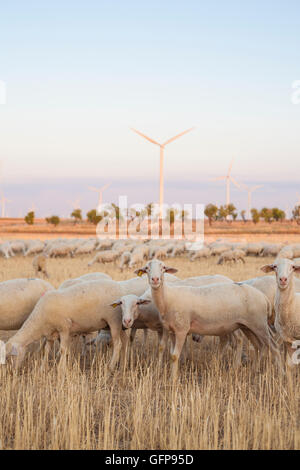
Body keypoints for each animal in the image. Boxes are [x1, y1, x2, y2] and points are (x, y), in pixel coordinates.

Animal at [136, 260, 282, 378]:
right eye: (147, 268)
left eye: (163, 268)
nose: (155, 280)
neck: (168, 298)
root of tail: (263, 297)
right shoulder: (169, 330)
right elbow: (163, 349)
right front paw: (159, 371)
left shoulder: (182, 330)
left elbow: (174, 355)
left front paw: (173, 379)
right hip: (247, 326)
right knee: (258, 346)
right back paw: (254, 371)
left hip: (259, 324)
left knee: (274, 347)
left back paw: (281, 375)